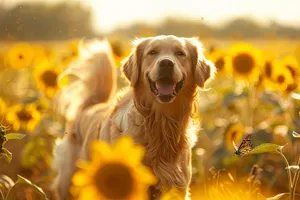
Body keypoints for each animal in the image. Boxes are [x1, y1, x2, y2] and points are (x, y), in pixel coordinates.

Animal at [52, 35, 216, 199]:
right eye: (152, 52)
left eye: (180, 53)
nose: (166, 63)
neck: (160, 125)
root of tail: (90, 106)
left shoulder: (177, 186)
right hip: (68, 181)